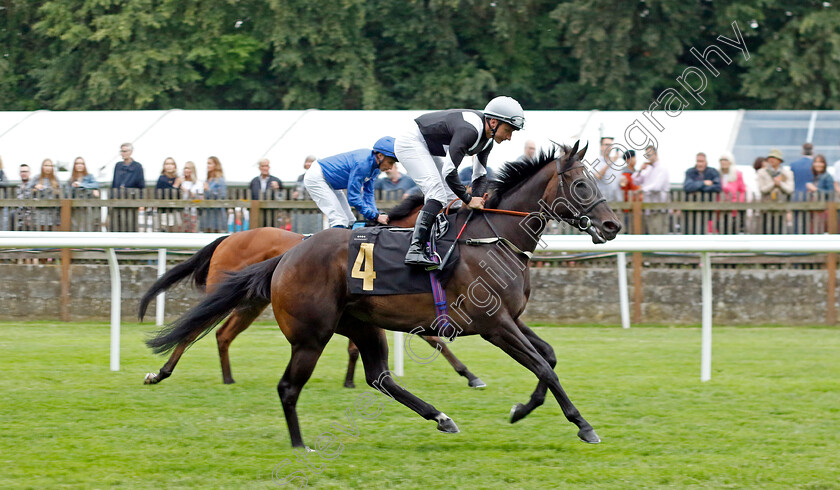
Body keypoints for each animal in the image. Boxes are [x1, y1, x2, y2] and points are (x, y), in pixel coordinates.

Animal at [139, 193, 486, 388]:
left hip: (250, 304)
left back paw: (227, 378)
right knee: (192, 329)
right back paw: (161, 373)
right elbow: (434, 340)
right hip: (231, 297)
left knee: (222, 335)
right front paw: (470, 374)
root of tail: (228, 237)